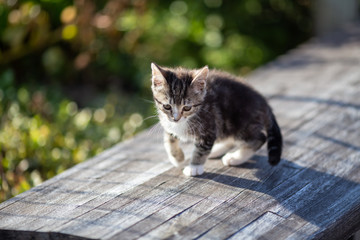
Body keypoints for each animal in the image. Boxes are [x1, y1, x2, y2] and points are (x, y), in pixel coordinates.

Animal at [150, 63, 282, 176]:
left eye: (187, 107)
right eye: (167, 106)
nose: (176, 118)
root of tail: (263, 102)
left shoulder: (208, 127)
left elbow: (201, 150)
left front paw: (194, 167)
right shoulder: (168, 122)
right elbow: (169, 138)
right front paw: (177, 158)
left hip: (240, 124)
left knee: (259, 138)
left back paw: (235, 158)